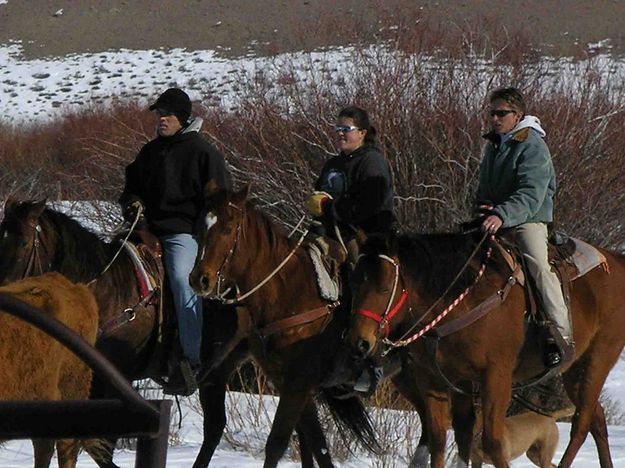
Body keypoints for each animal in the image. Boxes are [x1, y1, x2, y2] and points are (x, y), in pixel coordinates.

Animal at [188, 186, 378, 468]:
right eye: (200, 226)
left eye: (228, 227)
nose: (200, 279)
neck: (288, 292)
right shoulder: (289, 383)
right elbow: (316, 443)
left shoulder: (298, 383)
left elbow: (277, 444)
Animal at [344, 232, 624, 466]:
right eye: (354, 281)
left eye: (383, 286)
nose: (359, 342)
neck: (462, 301)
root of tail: (616, 261)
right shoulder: (438, 378)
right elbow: (442, 437)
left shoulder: (495, 377)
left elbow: (493, 441)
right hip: (574, 369)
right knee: (597, 419)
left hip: (597, 359)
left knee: (582, 423)